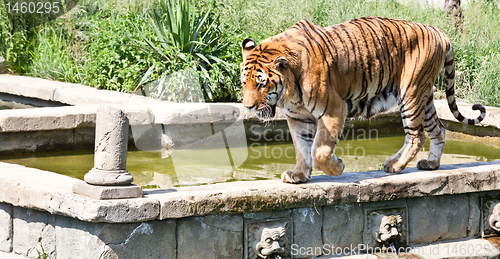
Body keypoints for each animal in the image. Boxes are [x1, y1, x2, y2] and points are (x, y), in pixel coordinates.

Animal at [240, 16, 486, 185]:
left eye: (261, 84)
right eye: (244, 83)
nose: (248, 107)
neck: (290, 92)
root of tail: (439, 32)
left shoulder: (333, 109)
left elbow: (319, 151)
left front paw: (337, 168)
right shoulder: (297, 117)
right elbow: (302, 147)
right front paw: (298, 174)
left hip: (411, 93)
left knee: (417, 136)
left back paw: (394, 165)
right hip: (424, 98)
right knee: (439, 129)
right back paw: (431, 164)